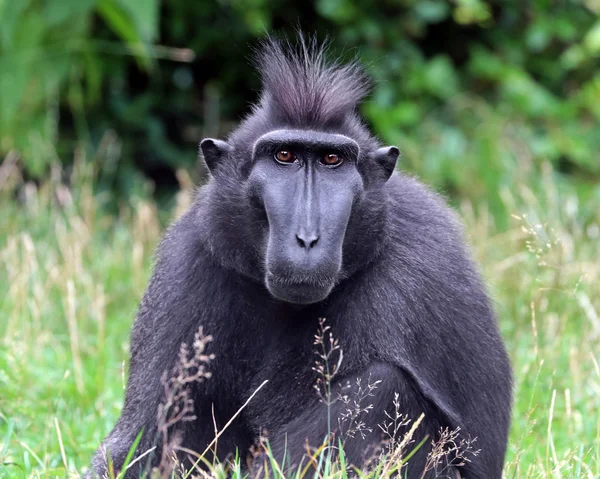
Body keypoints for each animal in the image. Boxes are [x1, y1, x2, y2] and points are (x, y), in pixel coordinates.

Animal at [88, 37, 510, 479]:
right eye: (285, 157)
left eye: (331, 161)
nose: (307, 239)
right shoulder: (188, 260)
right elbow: (140, 443)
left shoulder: (414, 271)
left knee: (382, 387)